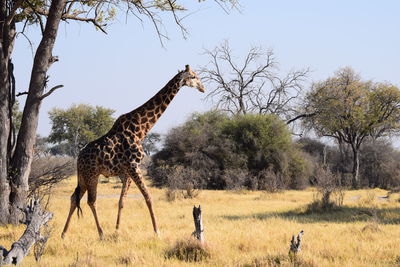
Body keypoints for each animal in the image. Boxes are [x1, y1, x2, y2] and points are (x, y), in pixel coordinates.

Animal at [61, 65, 205, 241]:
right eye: (193, 76)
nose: (203, 88)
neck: (141, 129)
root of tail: (78, 158)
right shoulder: (134, 166)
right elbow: (148, 197)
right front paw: (157, 231)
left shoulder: (126, 172)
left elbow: (121, 201)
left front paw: (117, 229)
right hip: (92, 174)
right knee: (91, 201)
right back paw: (101, 233)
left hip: (82, 176)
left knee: (74, 198)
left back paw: (64, 233)